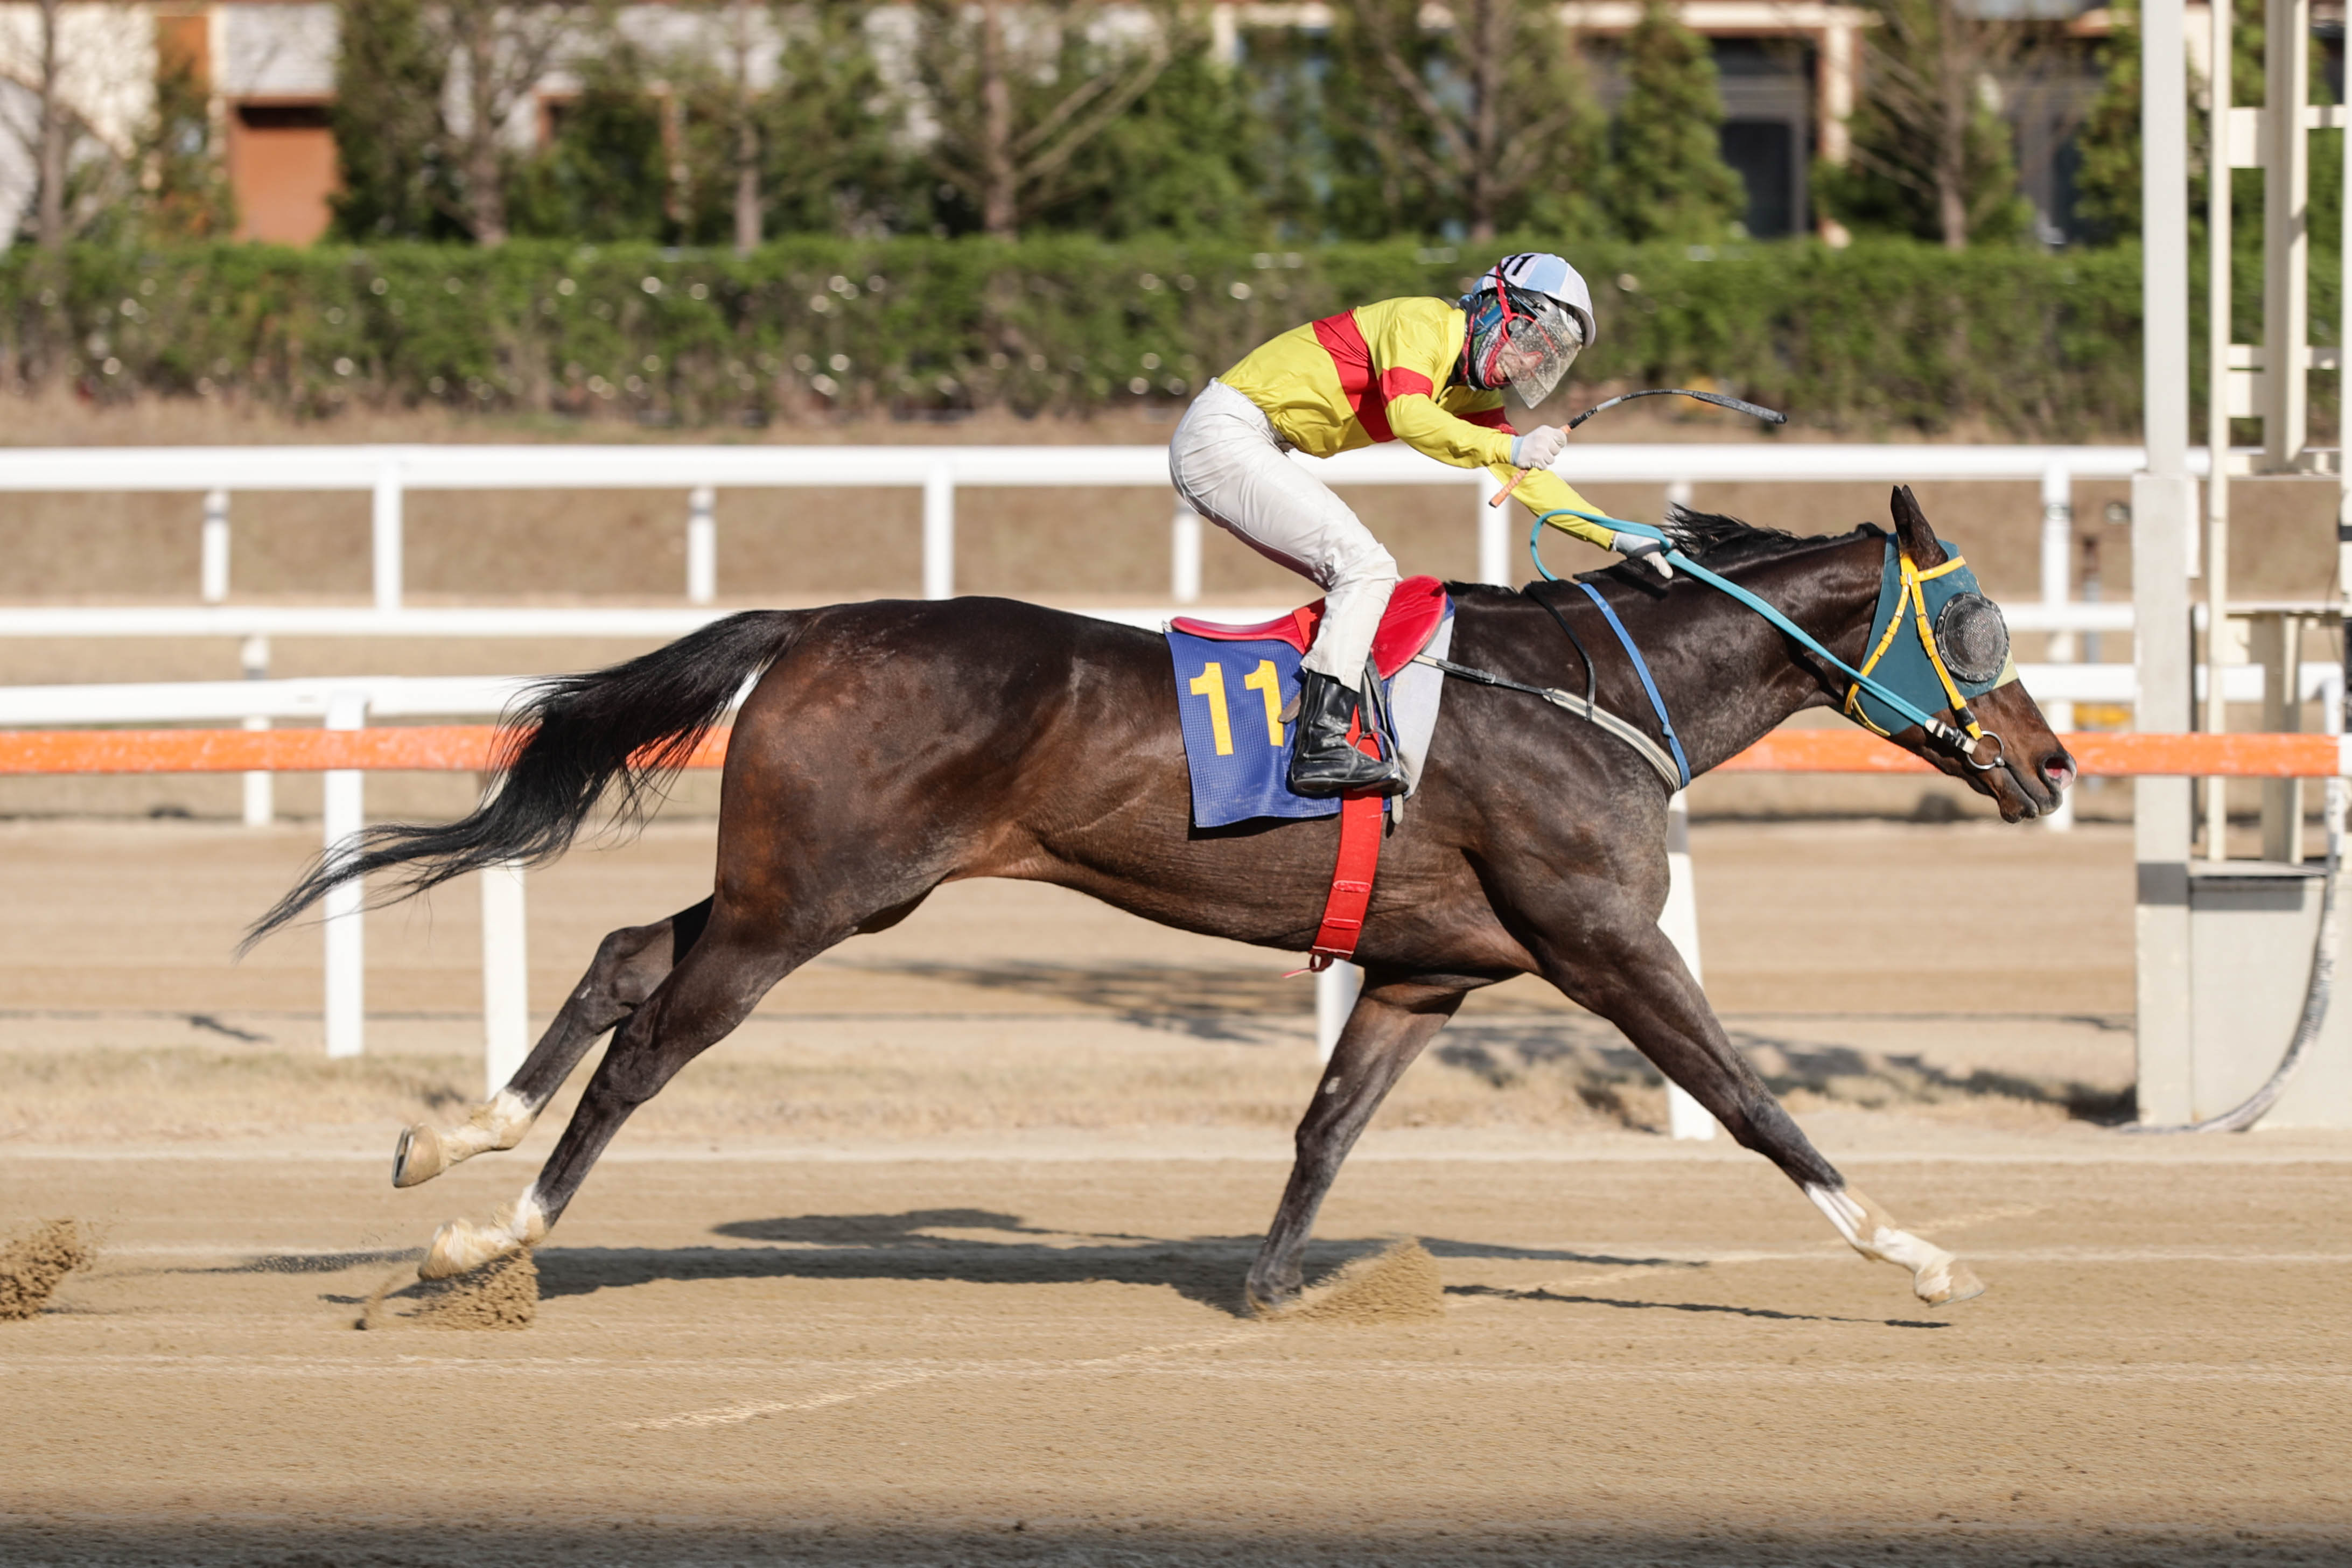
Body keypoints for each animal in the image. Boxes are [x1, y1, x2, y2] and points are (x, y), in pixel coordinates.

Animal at [243, 491, 2079, 1316]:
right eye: (1975, 623)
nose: (2055, 761)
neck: (1595, 694)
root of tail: (816, 621)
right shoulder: (1603, 943)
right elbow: (1756, 1103)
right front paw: (1920, 1253)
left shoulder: (1427, 973)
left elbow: (1327, 1125)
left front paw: (1272, 1285)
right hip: (809, 902)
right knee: (651, 1041)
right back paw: (493, 1232)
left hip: (804, 885)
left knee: (629, 955)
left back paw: (449, 1144)